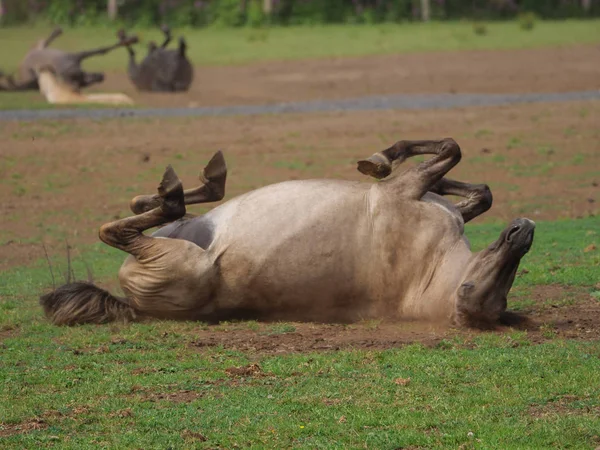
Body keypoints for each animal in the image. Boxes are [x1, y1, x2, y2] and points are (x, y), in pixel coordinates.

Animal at [41, 139, 536, 328]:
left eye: (474, 290)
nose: (522, 232)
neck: (428, 272)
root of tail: (133, 306)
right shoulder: (421, 193)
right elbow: (478, 190)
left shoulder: (405, 190)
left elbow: (450, 151)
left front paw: (378, 158)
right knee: (144, 210)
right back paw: (197, 186)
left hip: (183, 259)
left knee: (118, 229)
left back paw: (182, 191)